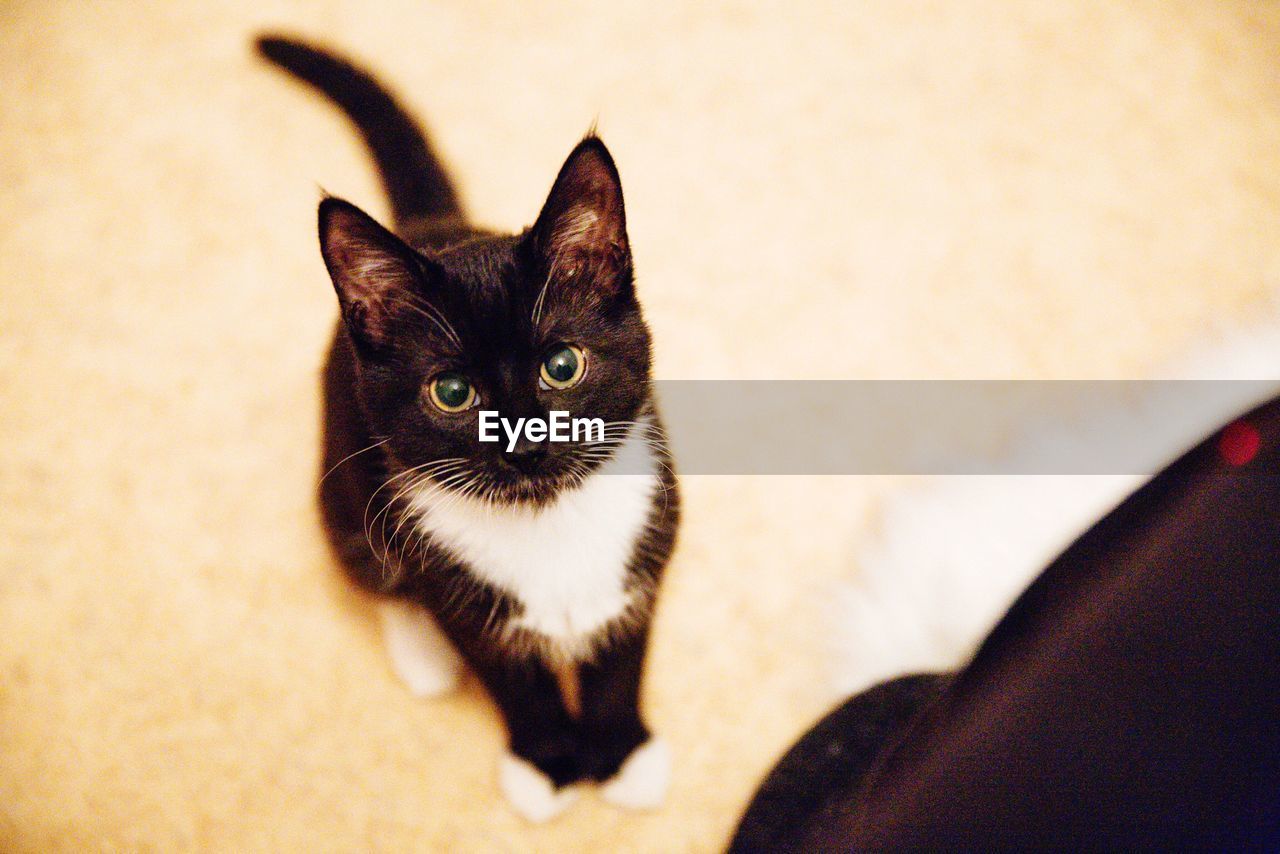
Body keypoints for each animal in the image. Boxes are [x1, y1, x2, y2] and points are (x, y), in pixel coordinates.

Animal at [257, 36, 680, 824]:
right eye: (451, 393)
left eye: (562, 365)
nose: (524, 441)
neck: (546, 519)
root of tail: (430, 229)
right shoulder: (453, 583)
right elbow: (514, 681)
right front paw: (549, 764)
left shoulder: (648, 541)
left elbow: (621, 656)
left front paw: (621, 755)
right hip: (342, 484)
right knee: (372, 564)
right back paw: (422, 654)